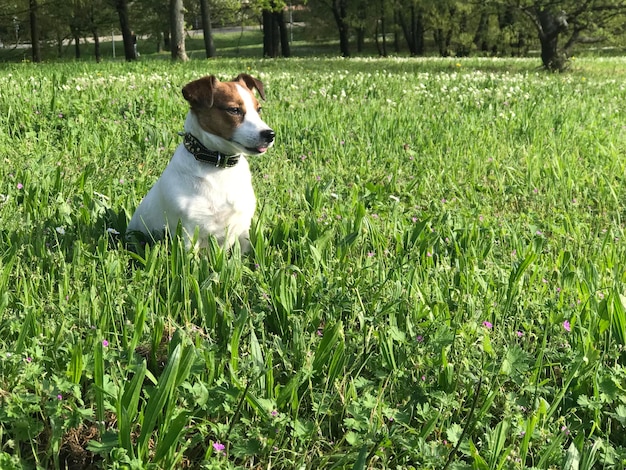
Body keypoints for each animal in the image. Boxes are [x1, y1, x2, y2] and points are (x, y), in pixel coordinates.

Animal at [126, 73, 272, 250]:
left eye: (259, 109)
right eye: (234, 110)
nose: (270, 134)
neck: (219, 167)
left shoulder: (242, 228)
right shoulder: (188, 232)